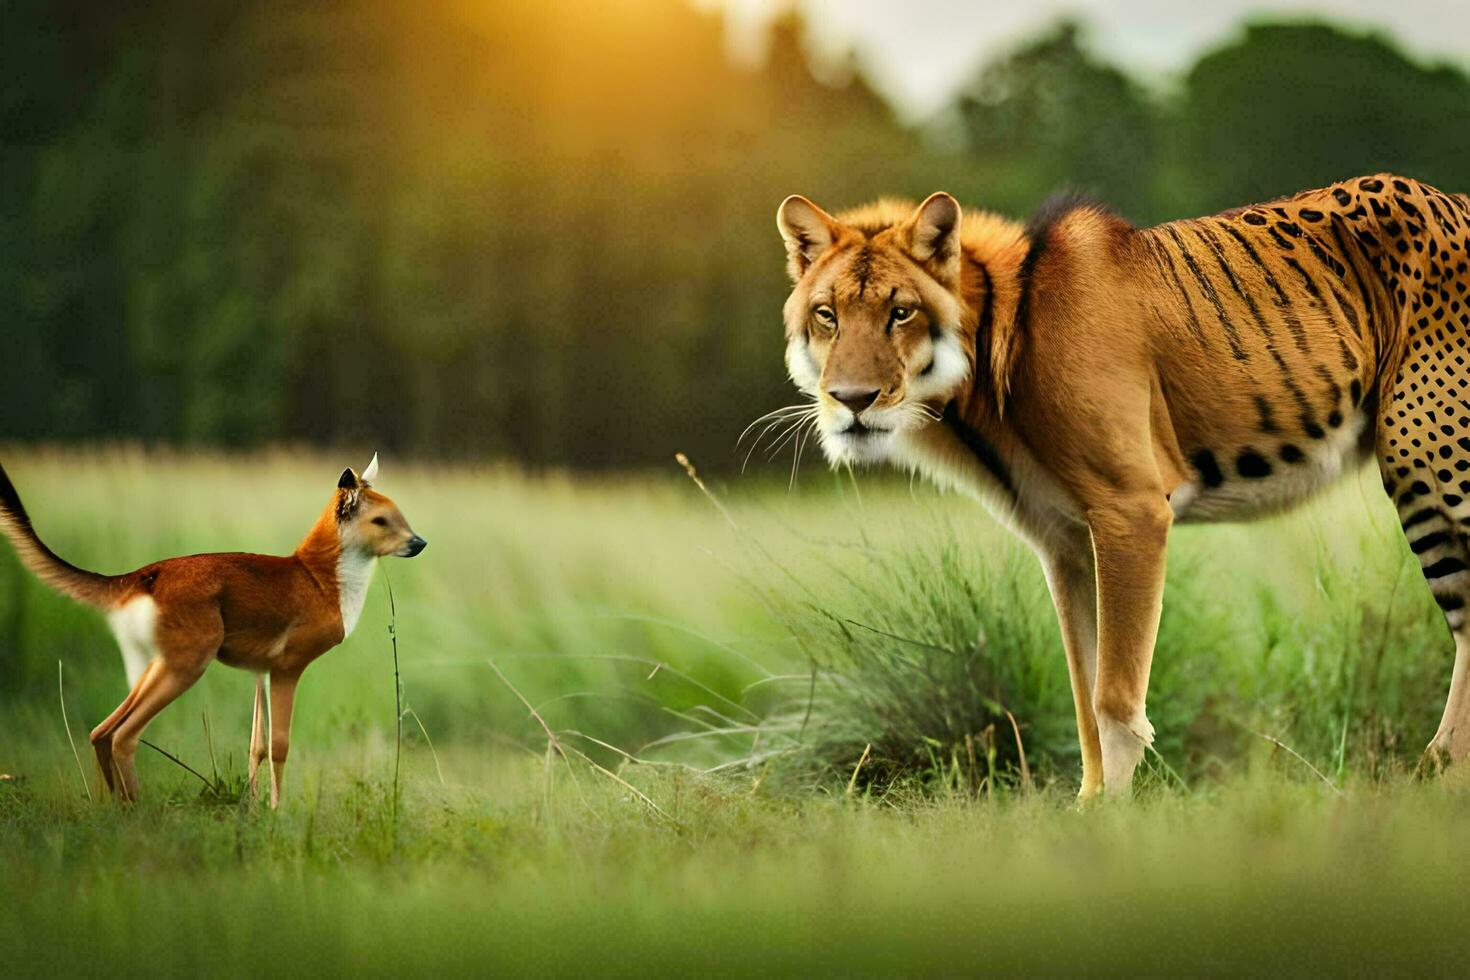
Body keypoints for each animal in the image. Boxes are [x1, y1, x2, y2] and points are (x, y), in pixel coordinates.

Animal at [776, 176, 1470, 799]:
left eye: (901, 312)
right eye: (827, 314)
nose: (852, 401)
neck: (995, 342)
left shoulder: (1131, 513)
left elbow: (1113, 693)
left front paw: (1114, 818)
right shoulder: (1065, 544)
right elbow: (1084, 691)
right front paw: (1087, 808)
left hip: (1426, 464)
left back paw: (1437, 773)